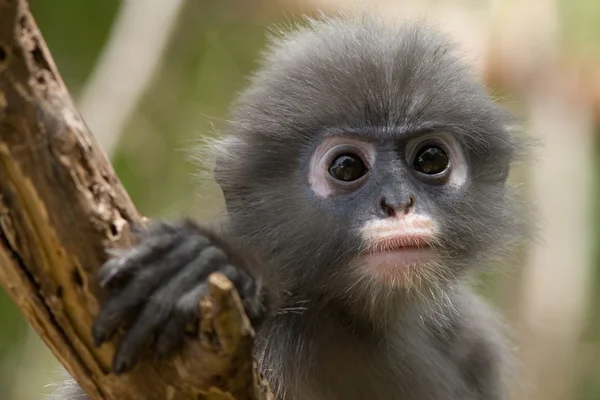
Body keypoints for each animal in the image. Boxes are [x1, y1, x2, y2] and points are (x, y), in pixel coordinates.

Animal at [54, 10, 528, 400]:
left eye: (430, 159)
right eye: (346, 167)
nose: (397, 202)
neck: (360, 322)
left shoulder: (473, 345)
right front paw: (208, 263)